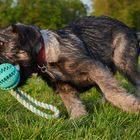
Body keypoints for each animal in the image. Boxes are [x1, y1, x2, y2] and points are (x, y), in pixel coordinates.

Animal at [0, 15, 140, 118]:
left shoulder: (94, 68)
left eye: (1, 43)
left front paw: (131, 105)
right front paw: (78, 120)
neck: (44, 55)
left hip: (124, 62)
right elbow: (73, 104)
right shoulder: (64, 87)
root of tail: (132, 31)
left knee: (135, 82)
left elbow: (111, 90)